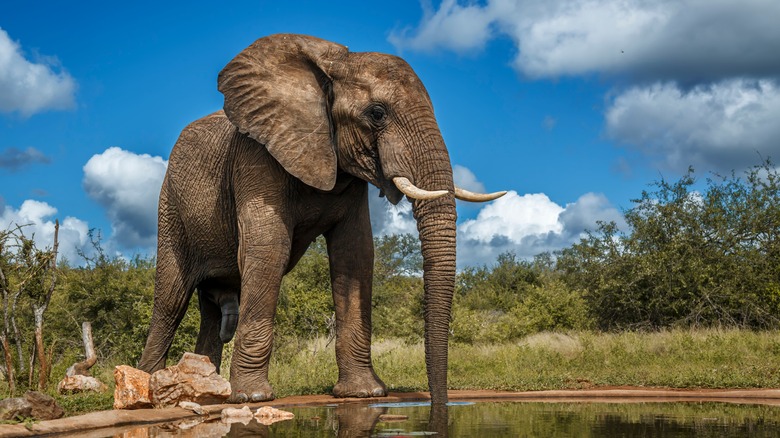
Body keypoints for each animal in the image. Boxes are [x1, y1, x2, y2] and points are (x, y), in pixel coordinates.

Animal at [138, 32, 506, 406]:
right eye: (377, 114)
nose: (439, 402)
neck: (333, 67)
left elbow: (354, 255)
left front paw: (364, 392)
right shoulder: (256, 155)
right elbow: (269, 248)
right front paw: (251, 397)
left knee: (210, 313)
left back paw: (206, 388)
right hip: (170, 205)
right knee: (170, 300)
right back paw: (153, 385)